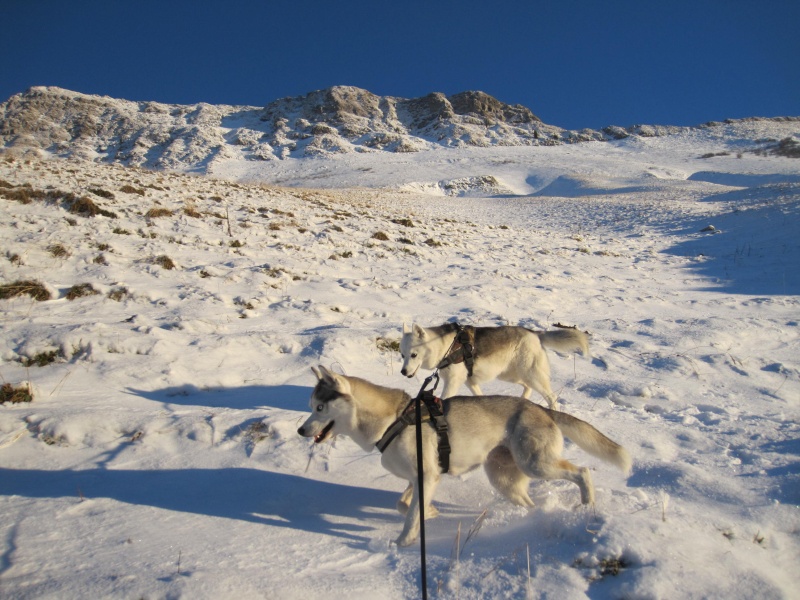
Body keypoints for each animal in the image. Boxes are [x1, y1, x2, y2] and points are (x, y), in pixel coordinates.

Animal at [296, 366, 636, 548]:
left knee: (582, 472)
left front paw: (403, 543)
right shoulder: (422, 478)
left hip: (536, 464)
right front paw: (431, 513)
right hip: (504, 479)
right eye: (311, 406)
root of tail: (540, 408)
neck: (393, 420)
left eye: (320, 408)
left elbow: (410, 516)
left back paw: (587, 505)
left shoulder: (426, 475)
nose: (301, 430)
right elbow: (404, 504)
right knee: (529, 503)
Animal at [398, 324, 588, 408]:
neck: (445, 347)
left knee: (551, 398)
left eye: (414, 355)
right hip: (511, 375)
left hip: (532, 375)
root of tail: (535, 333)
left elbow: (444, 399)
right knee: (527, 388)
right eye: (402, 355)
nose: (403, 372)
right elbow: (479, 396)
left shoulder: (453, 382)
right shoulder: (470, 382)